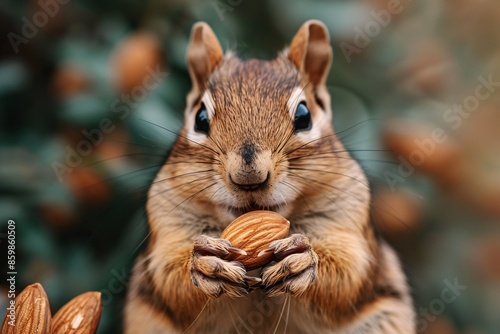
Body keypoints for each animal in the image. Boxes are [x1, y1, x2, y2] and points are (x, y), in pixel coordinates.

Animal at [123, 19, 416, 332]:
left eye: (304, 116)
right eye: (199, 118)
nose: (249, 176)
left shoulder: (348, 217)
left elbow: (347, 275)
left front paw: (303, 260)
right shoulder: (167, 220)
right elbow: (170, 281)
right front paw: (204, 264)